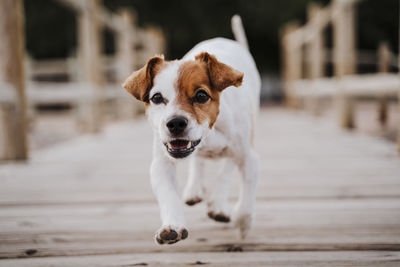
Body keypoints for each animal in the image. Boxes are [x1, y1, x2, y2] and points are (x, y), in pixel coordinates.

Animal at [122, 14, 260, 245]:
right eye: (156, 98)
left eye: (201, 96)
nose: (175, 123)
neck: (208, 137)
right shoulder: (162, 164)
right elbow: (169, 196)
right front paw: (172, 226)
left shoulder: (248, 157)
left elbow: (246, 198)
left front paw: (243, 224)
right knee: (199, 163)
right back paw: (194, 190)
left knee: (225, 169)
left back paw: (219, 205)